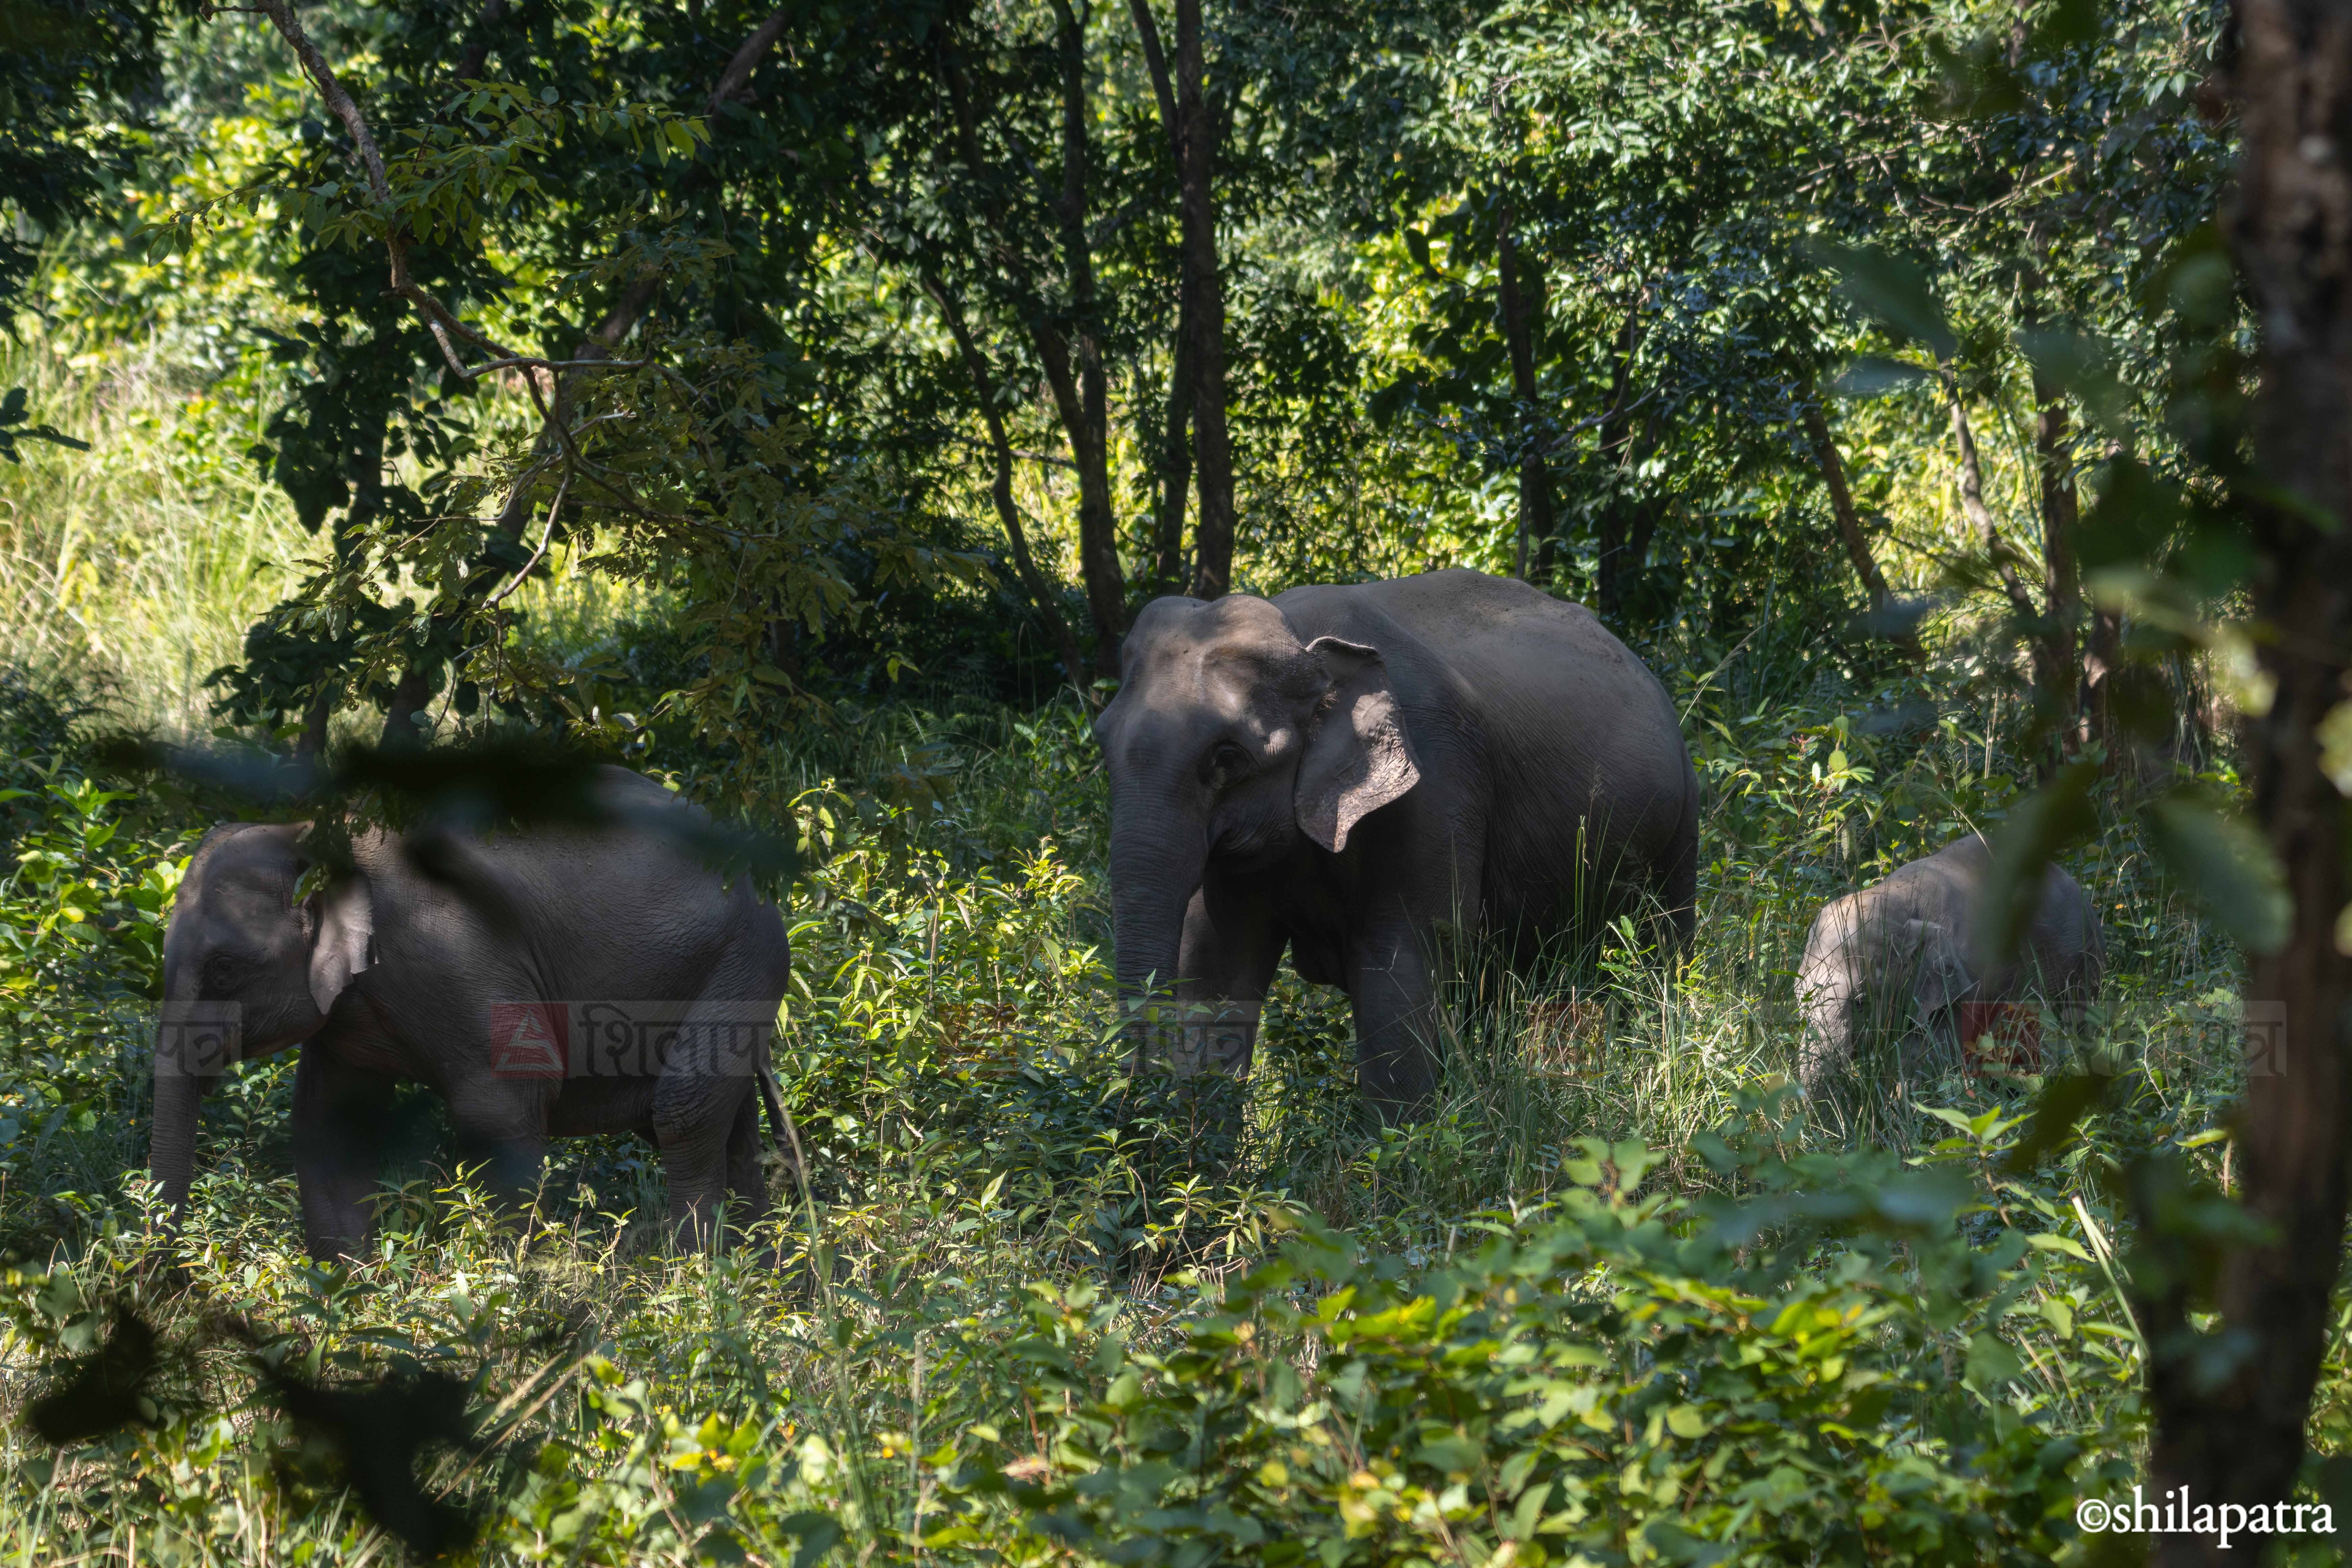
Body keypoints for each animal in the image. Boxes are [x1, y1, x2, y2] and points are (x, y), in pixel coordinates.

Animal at [149, 765, 795, 1260]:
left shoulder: (450, 950)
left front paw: (502, 1287)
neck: (315, 828)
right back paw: (761, 1285)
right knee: (725, 1129)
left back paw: (695, 1281)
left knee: (682, 1113)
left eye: (224, 970)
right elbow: (331, 1125)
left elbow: (507, 1104)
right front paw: (347, 1300)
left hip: (745, 960)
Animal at [1094, 568, 1701, 1118]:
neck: (1302, 636)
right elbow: (1219, 970)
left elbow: (1401, 964)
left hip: (1680, 824)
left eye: (1227, 758)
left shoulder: (1437, 782)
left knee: (1660, 954)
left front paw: (1392, 1155)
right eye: (1101, 740)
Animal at [1794, 833, 2104, 1097]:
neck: (1893, 896)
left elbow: (1927, 1054)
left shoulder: (1966, 979)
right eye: (1799, 1002)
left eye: (1860, 1002)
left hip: (2081, 961)